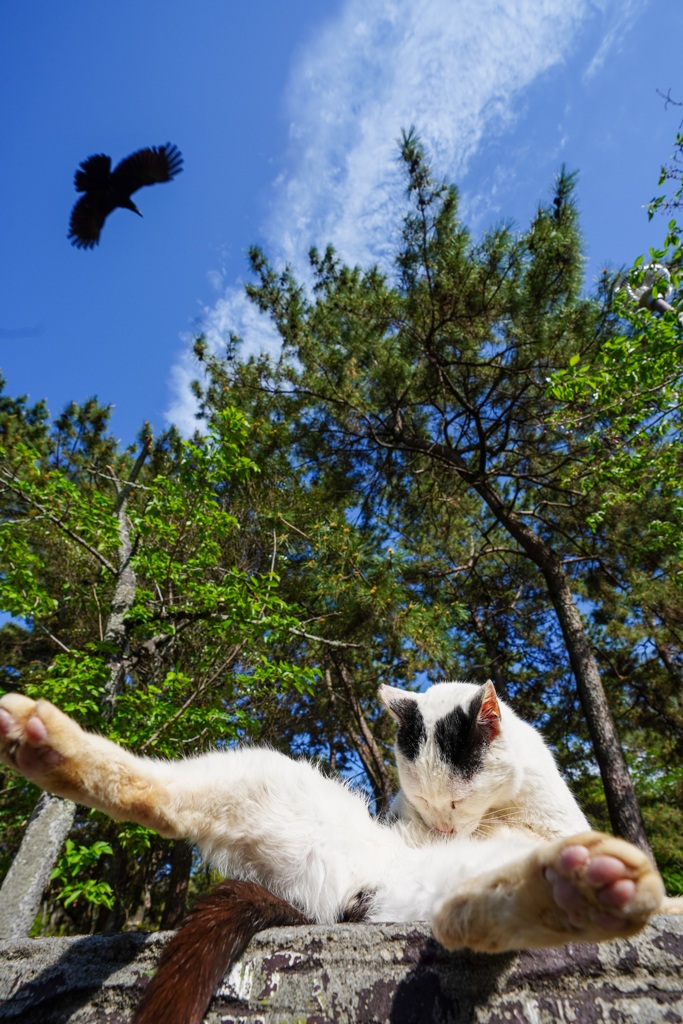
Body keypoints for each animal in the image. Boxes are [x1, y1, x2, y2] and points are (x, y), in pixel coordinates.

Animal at [0, 688, 663, 1024]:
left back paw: (583, 887)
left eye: (455, 798)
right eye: (423, 798)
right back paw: (37, 741)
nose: (443, 827)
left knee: (473, 916)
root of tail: (346, 896)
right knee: (153, 793)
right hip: (263, 776)